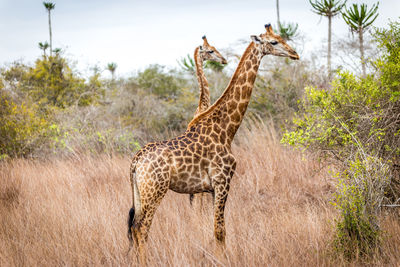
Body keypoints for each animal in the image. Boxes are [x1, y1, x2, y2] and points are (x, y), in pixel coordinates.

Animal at [126, 24, 298, 262]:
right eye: (273, 42)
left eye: (281, 37)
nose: (295, 54)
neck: (227, 130)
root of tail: (136, 161)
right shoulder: (222, 182)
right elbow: (220, 231)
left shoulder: (210, 189)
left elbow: (215, 229)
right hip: (155, 191)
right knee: (142, 228)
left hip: (139, 193)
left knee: (134, 228)